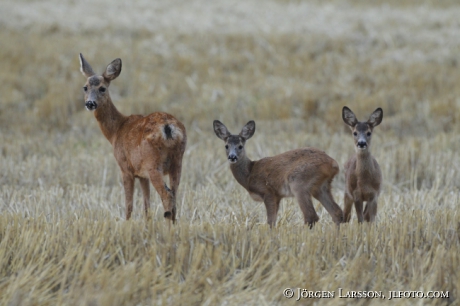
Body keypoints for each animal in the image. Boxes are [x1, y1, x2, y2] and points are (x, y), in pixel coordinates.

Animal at [79, 54, 187, 222]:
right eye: (85, 87)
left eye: (102, 88)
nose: (90, 103)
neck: (116, 131)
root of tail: (168, 127)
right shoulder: (142, 174)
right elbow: (146, 206)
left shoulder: (125, 168)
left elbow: (129, 205)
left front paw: (126, 224)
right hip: (177, 162)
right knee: (174, 196)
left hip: (153, 164)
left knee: (167, 196)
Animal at [214, 119, 344, 227]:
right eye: (226, 146)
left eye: (240, 146)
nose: (232, 157)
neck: (249, 174)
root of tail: (333, 163)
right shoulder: (278, 196)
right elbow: (273, 221)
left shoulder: (268, 191)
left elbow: (270, 222)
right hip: (321, 187)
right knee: (337, 213)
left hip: (299, 183)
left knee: (311, 216)